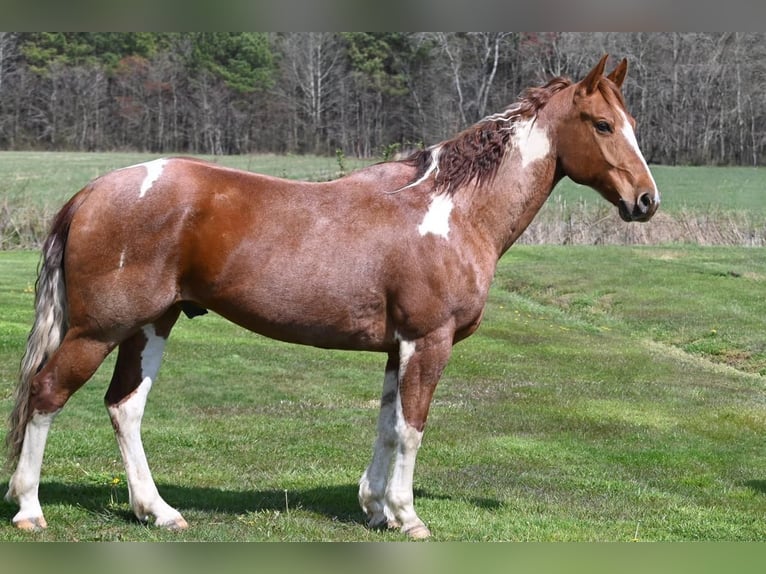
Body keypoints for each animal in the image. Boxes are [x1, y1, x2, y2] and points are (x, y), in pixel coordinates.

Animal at [6, 55, 660, 540]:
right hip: (98, 331)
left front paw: (376, 508)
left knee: (125, 406)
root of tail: (92, 191)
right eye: (602, 124)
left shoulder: (399, 348)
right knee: (47, 393)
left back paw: (158, 511)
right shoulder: (429, 341)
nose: (646, 201)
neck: (453, 210)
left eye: (631, 123)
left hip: (150, 326)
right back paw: (30, 509)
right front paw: (408, 516)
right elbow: (413, 428)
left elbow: (387, 424)